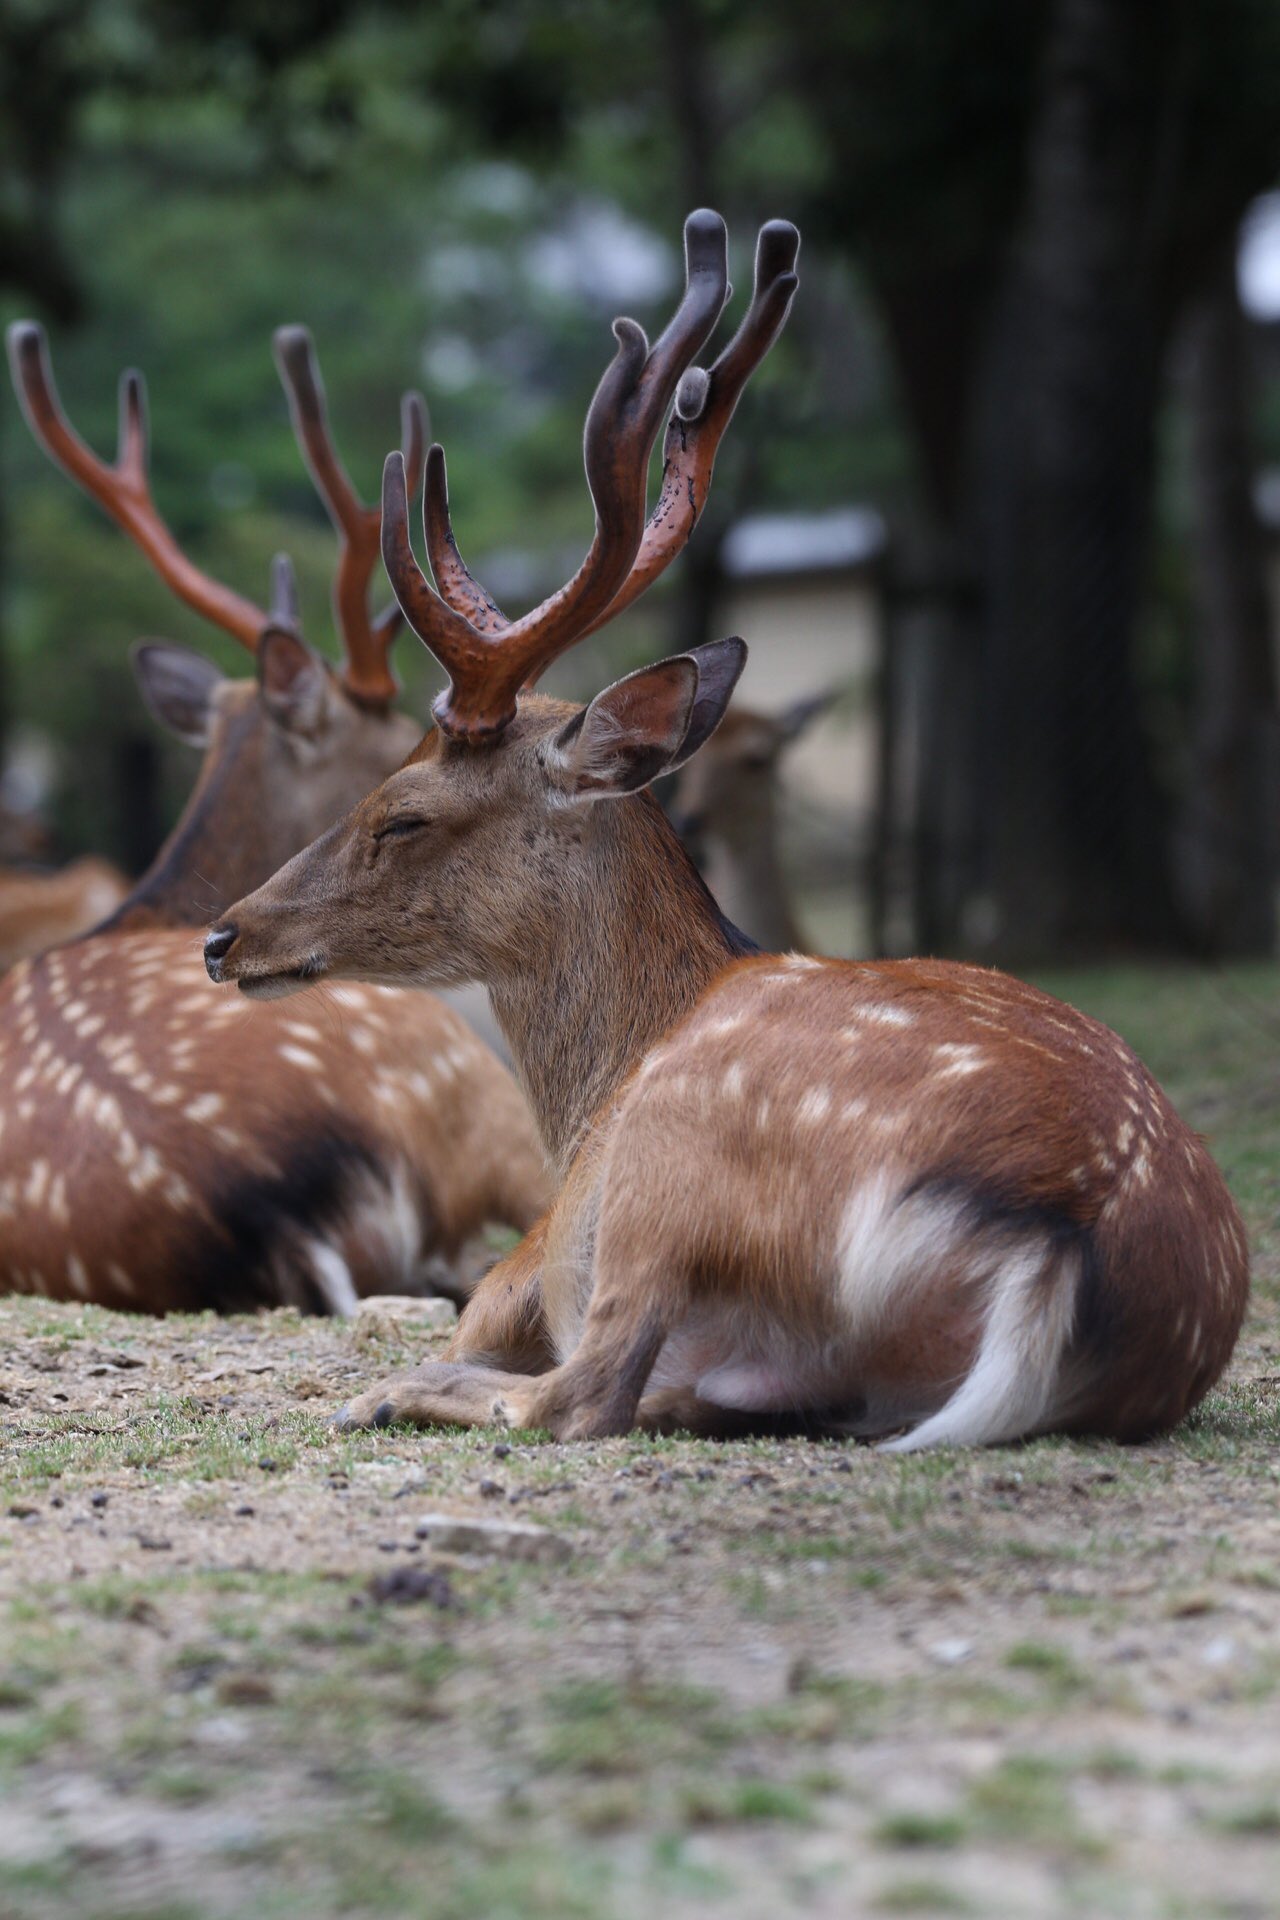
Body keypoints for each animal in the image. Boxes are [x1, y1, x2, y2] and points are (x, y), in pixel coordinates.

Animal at [203, 209, 1250, 1447]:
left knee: (583, 1392)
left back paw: (383, 1392)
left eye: (401, 815)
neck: (596, 1082)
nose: (224, 935)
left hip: (668, 1167)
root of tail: (1061, 1240)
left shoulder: (533, 1255)